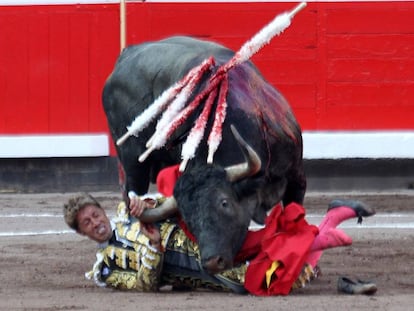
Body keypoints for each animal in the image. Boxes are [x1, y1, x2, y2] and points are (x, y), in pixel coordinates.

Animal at [102, 36, 306, 272]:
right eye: (189, 219)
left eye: (224, 203)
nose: (211, 262)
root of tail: (126, 54)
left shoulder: (297, 178)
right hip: (133, 163)